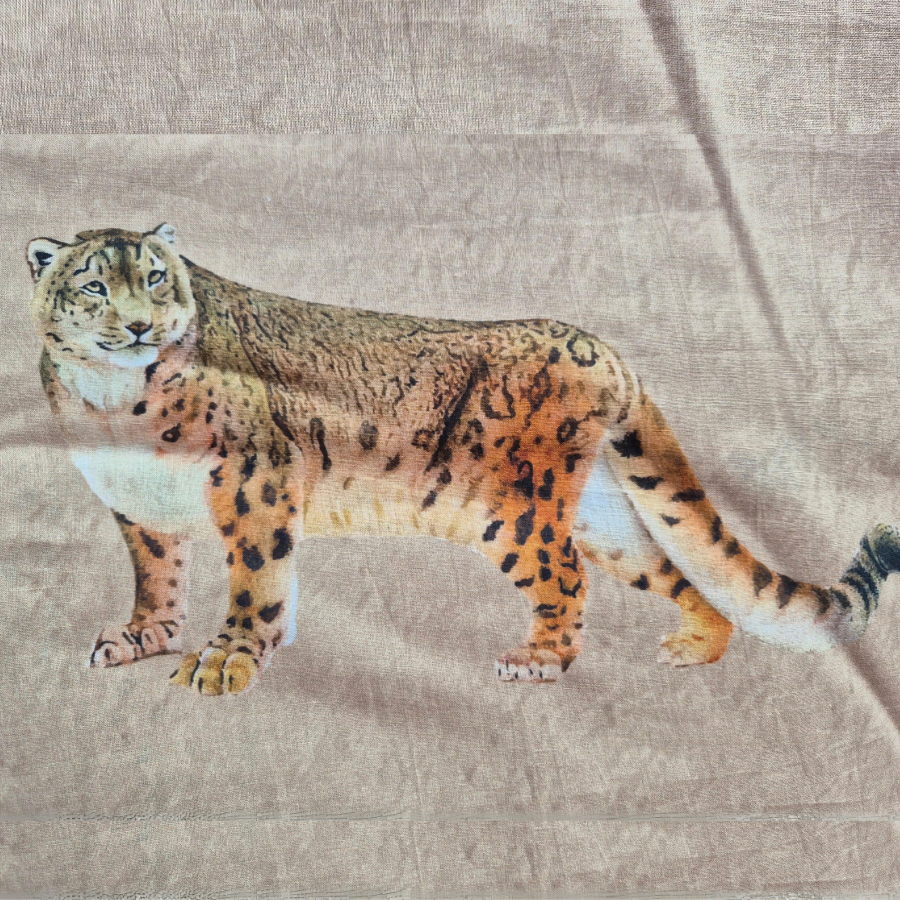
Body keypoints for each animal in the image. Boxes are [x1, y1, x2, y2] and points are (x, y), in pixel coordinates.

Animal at [27, 224, 900, 695]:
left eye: (154, 278)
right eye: (94, 287)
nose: (140, 325)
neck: (110, 408)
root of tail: (599, 346)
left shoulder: (252, 486)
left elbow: (256, 584)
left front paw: (226, 661)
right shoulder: (137, 505)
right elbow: (157, 576)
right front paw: (143, 637)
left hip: (512, 511)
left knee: (565, 579)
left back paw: (540, 660)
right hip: (602, 515)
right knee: (675, 568)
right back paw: (697, 645)